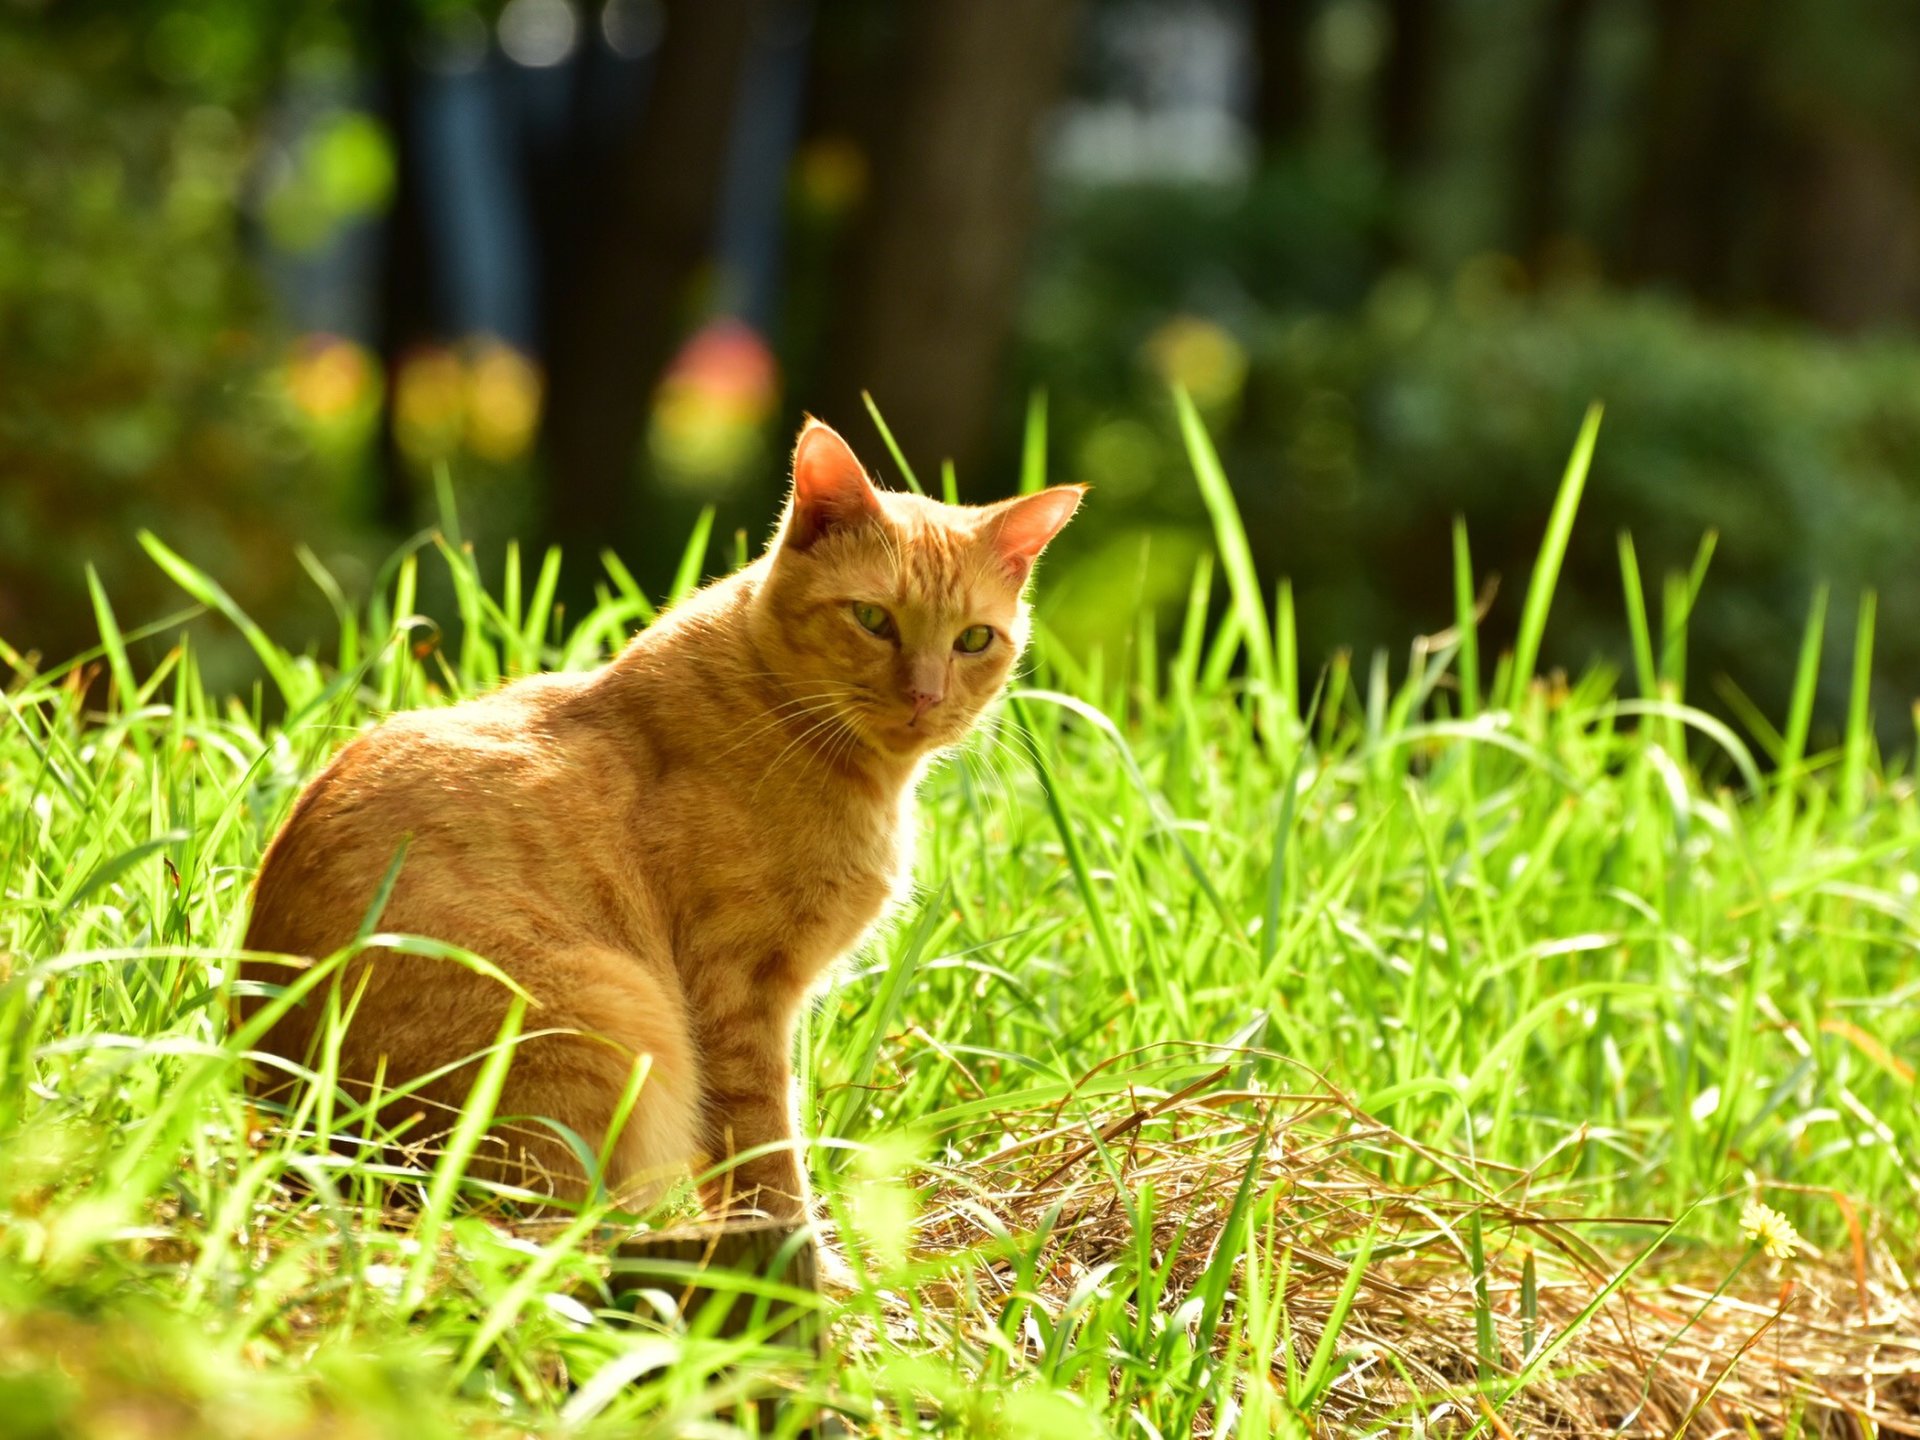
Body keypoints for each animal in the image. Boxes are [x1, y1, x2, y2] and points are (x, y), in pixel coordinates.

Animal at [240, 422, 1082, 1221]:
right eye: (873, 619)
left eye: (974, 639)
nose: (925, 696)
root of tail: (292, 1118)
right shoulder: (738, 997)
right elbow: (768, 1158)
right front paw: (803, 1262)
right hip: (608, 1009)